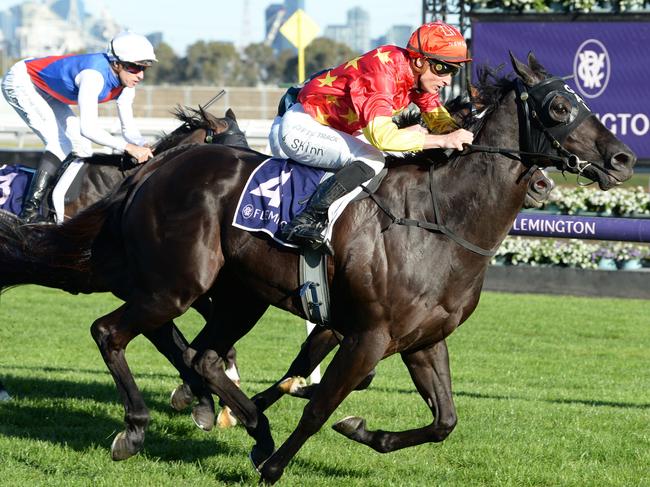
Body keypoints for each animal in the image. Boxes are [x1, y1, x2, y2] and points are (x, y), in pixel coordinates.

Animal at [0, 54, 632, 484]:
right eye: (558, 107)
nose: (623, 158)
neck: (439, 219)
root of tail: (154, 170)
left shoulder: (423, 339)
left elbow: (444, 420)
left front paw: (360, 430)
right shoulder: (367, 335)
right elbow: (320, 404)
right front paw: (277, 464)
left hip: (236, 295)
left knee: (202, 356)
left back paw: (244, 424)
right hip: (178, 284)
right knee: (112, 331)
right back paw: (137, 428)